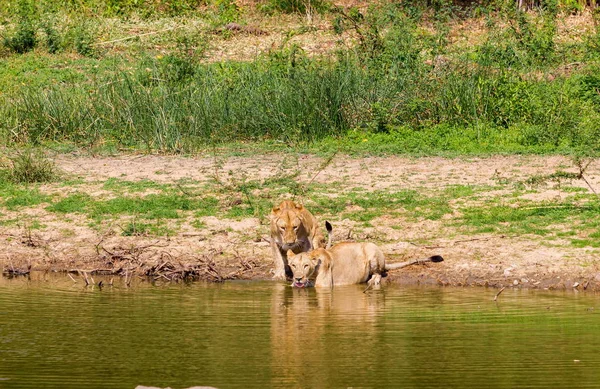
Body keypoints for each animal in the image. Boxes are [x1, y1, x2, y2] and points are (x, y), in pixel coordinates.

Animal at [288, 242, 442, 288]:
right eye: (293, 265)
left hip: (371, 250)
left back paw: (373, 280)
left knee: (379, 273)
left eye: (306, 265)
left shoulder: (324, 286)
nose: (298, 278)